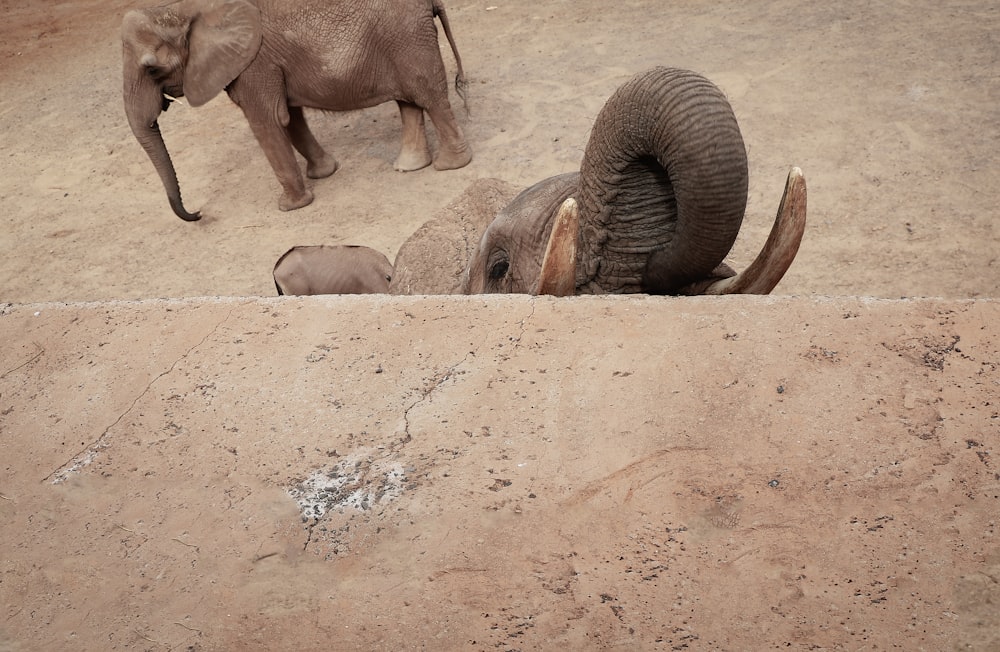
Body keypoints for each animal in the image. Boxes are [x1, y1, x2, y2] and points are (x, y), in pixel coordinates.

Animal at [121, 0, 472, 222]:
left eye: (151, 69)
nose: (199, 213)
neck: (180, 10)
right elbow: (290, 118)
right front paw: (324, 173)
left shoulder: (254, 64)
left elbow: (266, 121)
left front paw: (290, 207)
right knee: (409, 101)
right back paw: (409, 167)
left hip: (408, 38)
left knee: (429, 96)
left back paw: (450, 165)